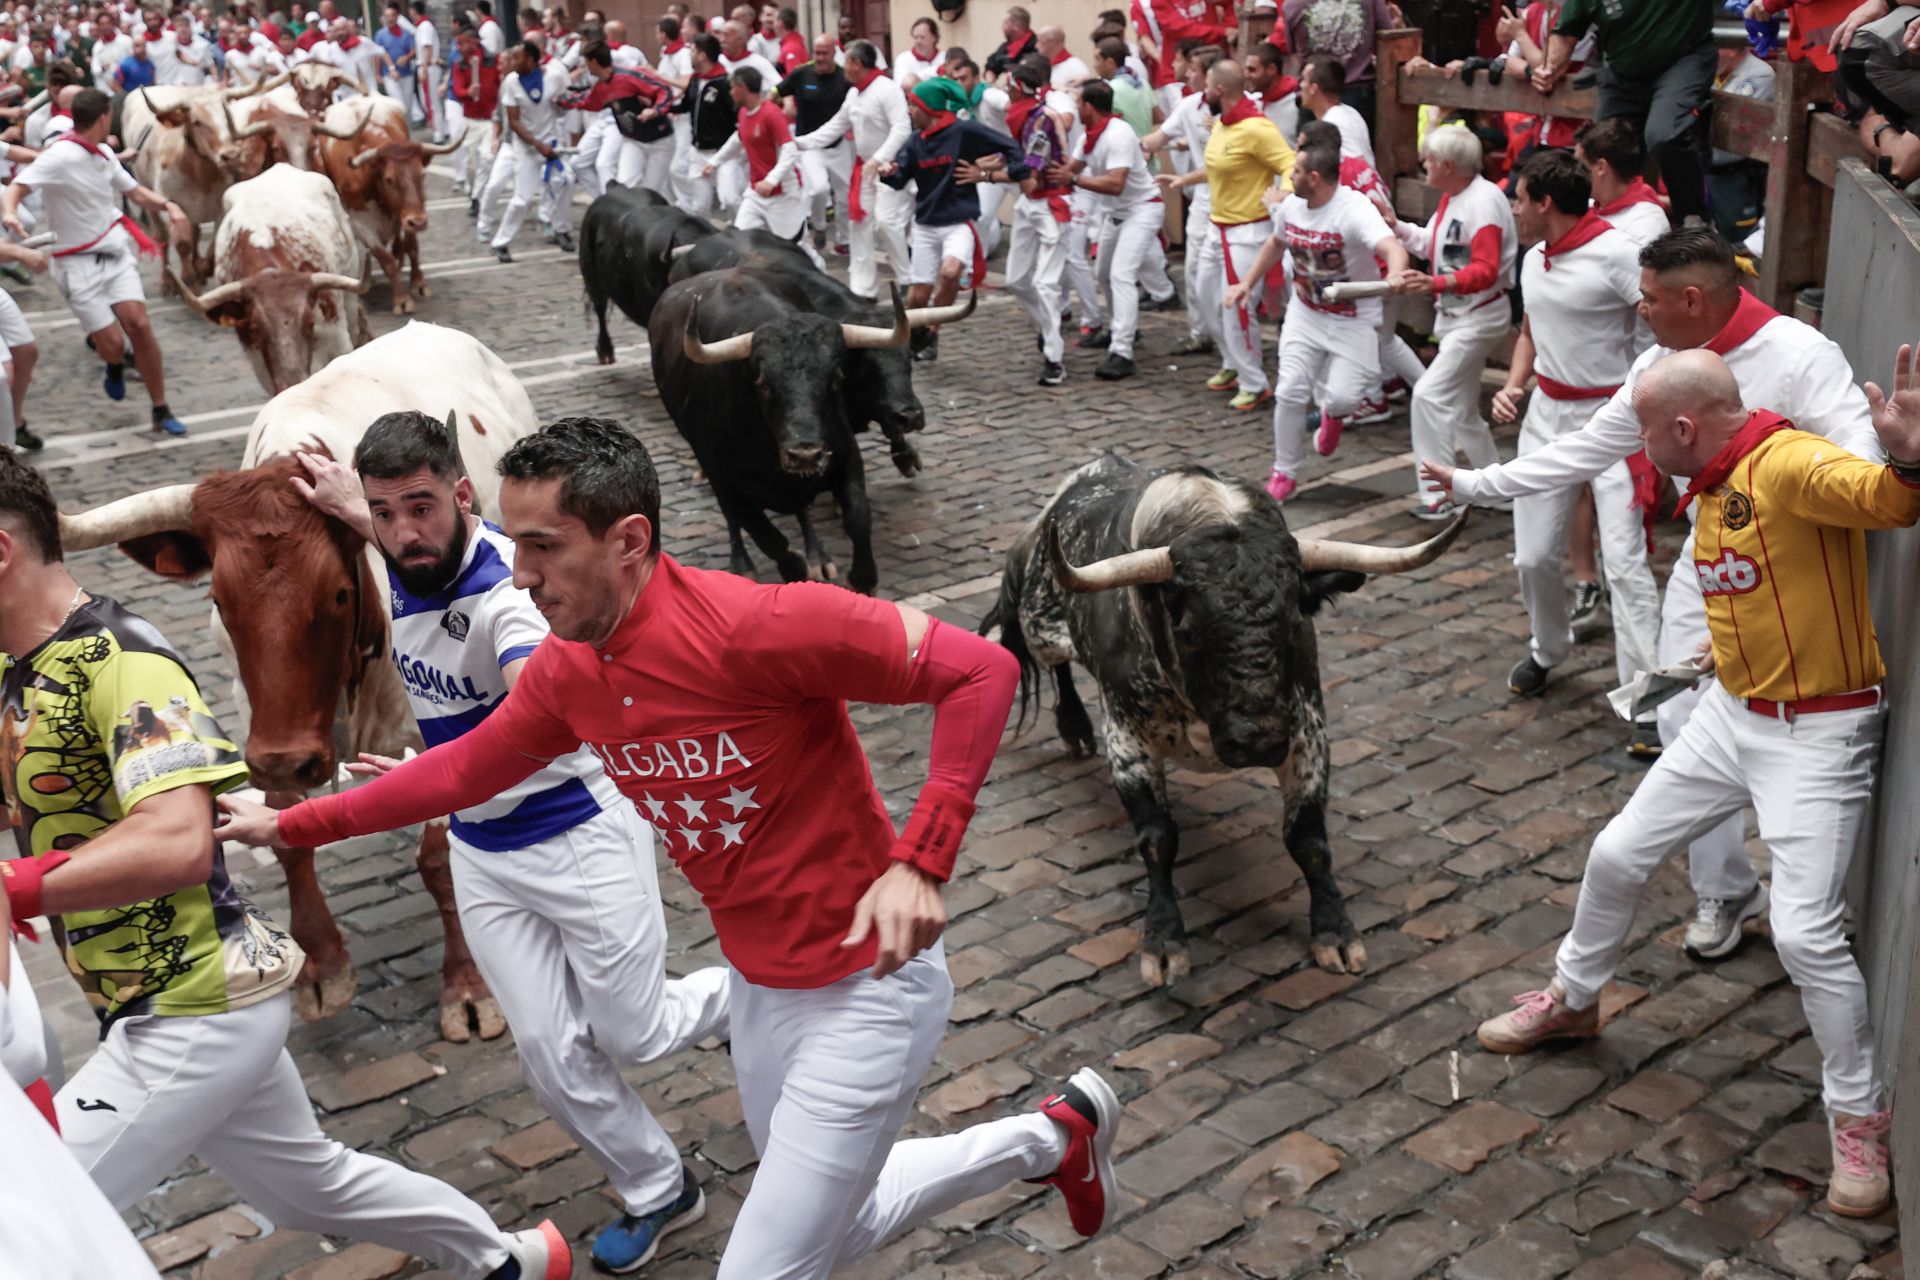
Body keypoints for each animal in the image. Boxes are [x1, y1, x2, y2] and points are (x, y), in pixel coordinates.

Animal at [648, 272, 925, 602]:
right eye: (763, 381)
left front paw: (863, 578)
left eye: (836, 377)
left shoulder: (845, 455)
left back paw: (818, 556)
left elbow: (858, 515)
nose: (804, 454)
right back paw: (743, 565)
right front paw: (795, 573)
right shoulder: (723, 478)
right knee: (735, 521)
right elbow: (765, 535)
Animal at [983, 454, 1459, 990]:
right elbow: (1157, 839)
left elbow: (1309, 840)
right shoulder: (1128, 741)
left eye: (1294, 620)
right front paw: (1163, 942)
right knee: (1052, 660)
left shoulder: (1307, 734)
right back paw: (1074, 727)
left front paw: (1334, 931)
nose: (1257, 740)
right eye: (1189, 627)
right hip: (1040, 625)